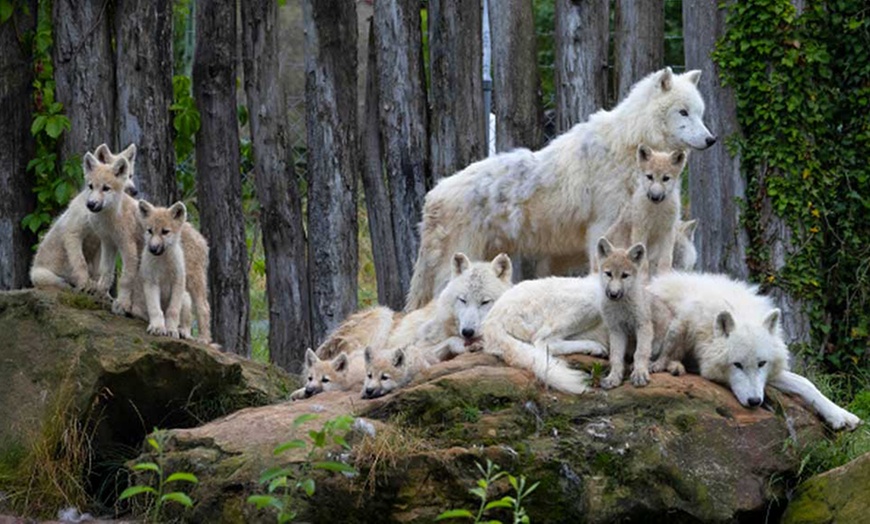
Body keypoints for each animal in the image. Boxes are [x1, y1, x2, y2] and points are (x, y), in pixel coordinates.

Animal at [408, 67, 716, 310]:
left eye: (700, 113)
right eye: (683, 112)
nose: (710, 139)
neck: (628, 146)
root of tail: (433, 195)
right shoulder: (603, 227)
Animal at [652, 270, 860, 430]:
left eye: (761, 363)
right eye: (737, 365)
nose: (755, 402)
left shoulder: (770, 373)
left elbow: (806, 383)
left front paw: (840, 415)